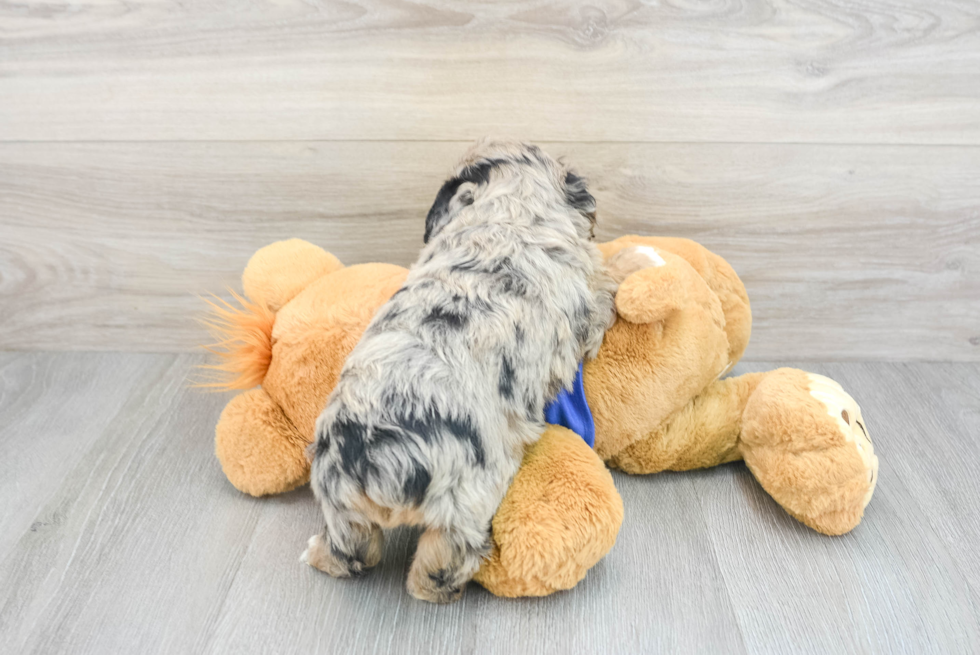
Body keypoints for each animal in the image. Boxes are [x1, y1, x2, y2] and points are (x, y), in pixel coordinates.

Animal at [302, 140, 616, 604]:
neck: (509, 209)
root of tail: (377, 457)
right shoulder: (585, 310)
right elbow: (605, 292)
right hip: (466, 501)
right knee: (438, 566)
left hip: (339, 503)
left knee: (351, 552)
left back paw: (317, 553)